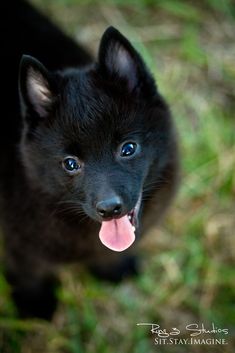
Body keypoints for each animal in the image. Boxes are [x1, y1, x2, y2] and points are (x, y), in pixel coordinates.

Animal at [0, 0, 178, 320]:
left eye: (128, 148)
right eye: (71, 163)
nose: (109, 209)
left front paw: (114, 270)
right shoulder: (20, 242)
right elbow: (29, 271)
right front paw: (34, 306)